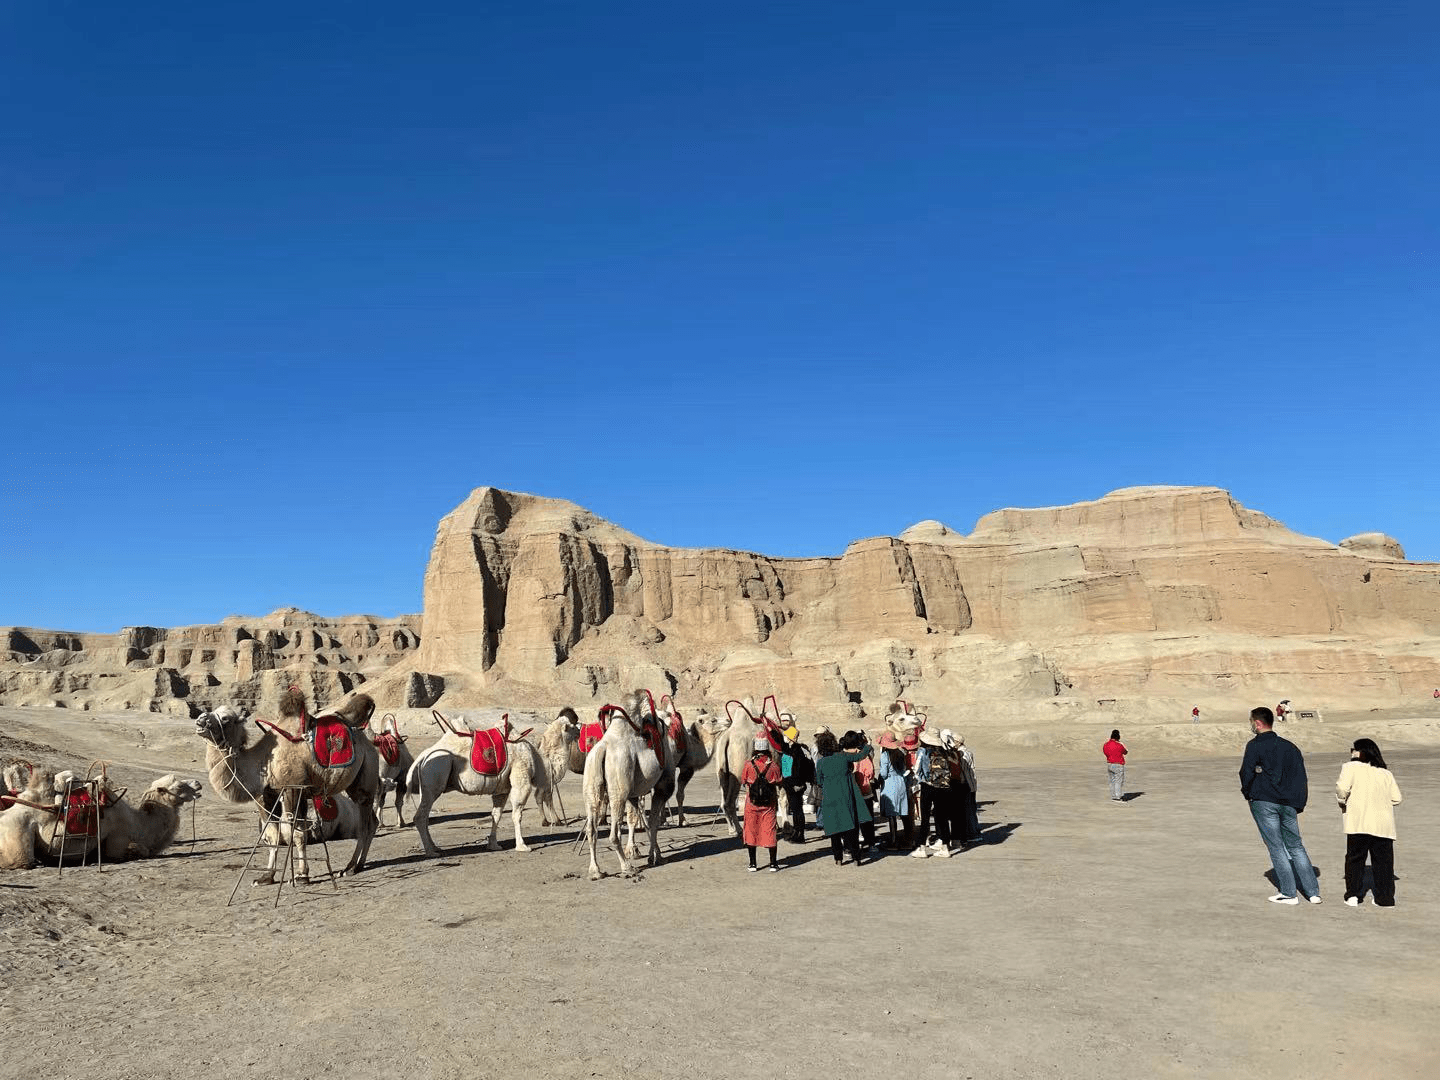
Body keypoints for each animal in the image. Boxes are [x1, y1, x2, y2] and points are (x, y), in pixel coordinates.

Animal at [414, 714, 558, 858]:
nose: (556, 821)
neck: (537, 759)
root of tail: (422, 756)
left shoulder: (502, 790)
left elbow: (496, 815)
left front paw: (493, 845)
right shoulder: (521, 779)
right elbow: (517, 814)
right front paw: (522, 846)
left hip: (427, 782)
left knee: (425, 813)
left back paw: (435, 847)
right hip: (436, 770)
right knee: (421, 815)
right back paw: (431, 852)